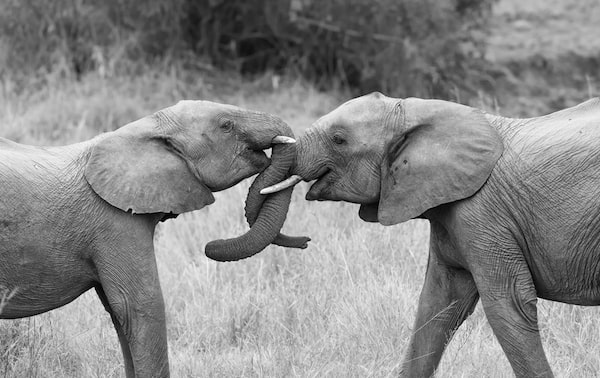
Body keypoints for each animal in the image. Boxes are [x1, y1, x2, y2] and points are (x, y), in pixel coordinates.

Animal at [0, 100, 308, 378]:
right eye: (226, 125)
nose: (305, 241)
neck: (145, 126)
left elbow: (120, 315)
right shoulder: (114, 222)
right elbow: (140, 307)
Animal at [264, 91, 600, 378]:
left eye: (338, 139)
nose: (305, 241)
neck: (416, 111)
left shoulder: (483, 216)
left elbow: (508, 305)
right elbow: (437, 305)